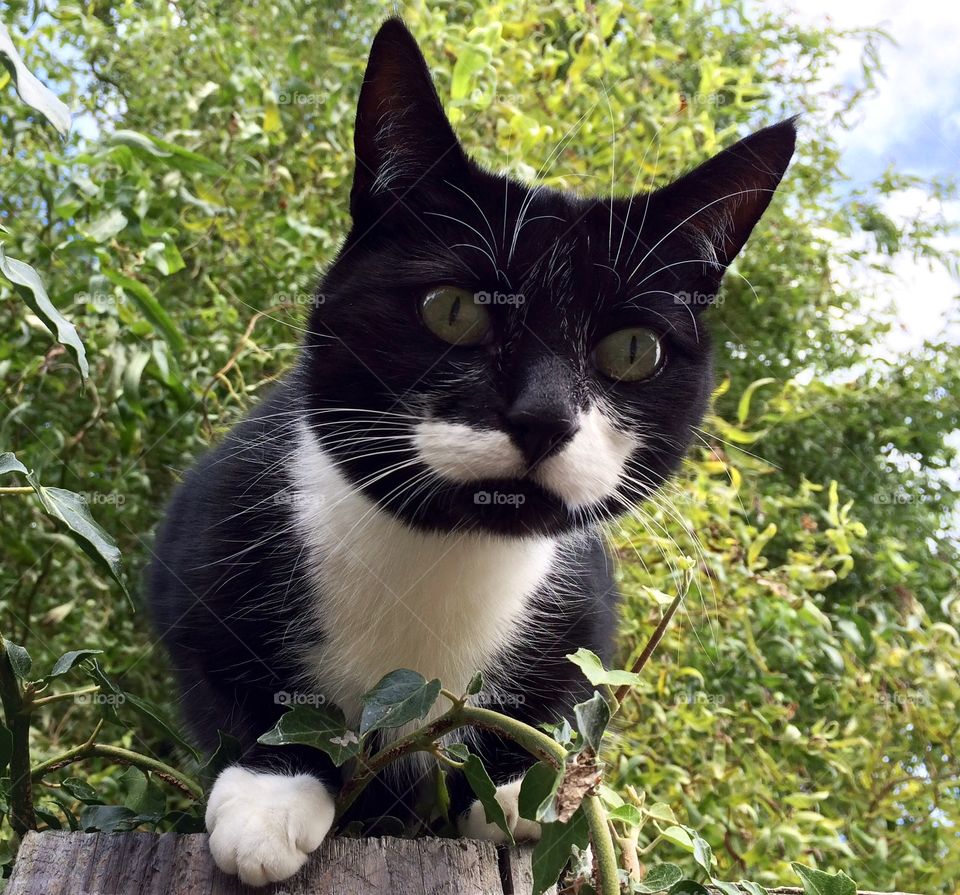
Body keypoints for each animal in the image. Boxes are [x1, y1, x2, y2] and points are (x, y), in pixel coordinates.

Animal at [148, 14, 796, 888]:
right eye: (453, 309)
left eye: (633, 350)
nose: (543, 416)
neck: (440, 557)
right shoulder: (201, 535)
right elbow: (227, 677)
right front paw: (269, 796)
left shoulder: (585, 610)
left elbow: (553, 698)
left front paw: (529, 784)